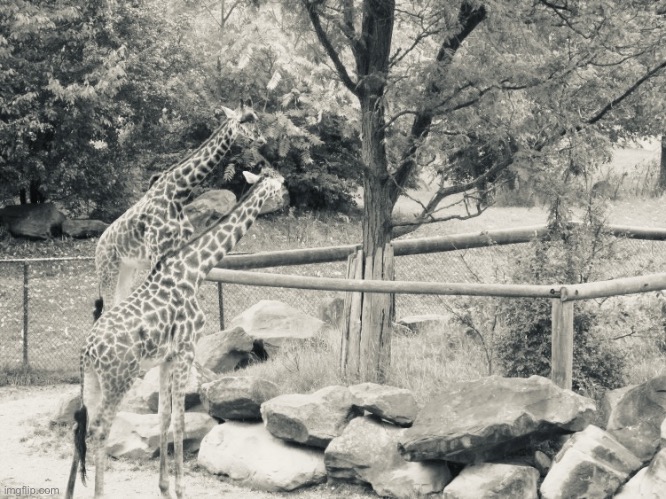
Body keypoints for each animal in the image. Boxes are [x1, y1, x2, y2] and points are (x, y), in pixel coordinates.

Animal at [65, 167, 285, 499]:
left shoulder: (166, 358)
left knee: (83, 426)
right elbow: (180, 420)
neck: (194, 270)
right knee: (101, 429)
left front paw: (164, 487)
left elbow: (164, 417)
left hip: (92, 379)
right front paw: (181, 489)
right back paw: (99, 493)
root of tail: (87, 350)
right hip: (118, 379)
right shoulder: (185, 350)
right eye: (278, 184)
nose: (286, 198)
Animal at [95, 99, 263, 312]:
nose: (261, 139)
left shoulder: (176, 249)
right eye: (243, 120)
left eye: (256, 117)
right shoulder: (157, 251)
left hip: (128, 268)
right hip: (108, 270)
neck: (178, 193)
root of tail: (97, 248)